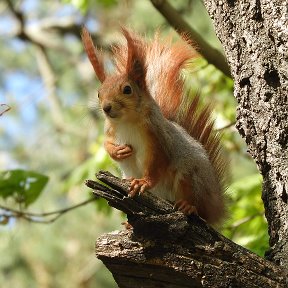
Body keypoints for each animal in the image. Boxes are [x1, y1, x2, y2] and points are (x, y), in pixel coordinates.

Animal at [81, 27, 227, 224]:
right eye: (99, 93)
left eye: (127, 89)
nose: (106, 108)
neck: (126, 121)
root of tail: (215, 207)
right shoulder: (110, 129)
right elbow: (106, 144)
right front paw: (117, 151)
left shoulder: (158, 137)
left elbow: (158, 164)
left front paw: (144, 182)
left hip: (189, 177)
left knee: (196, 203)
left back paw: (189, 205)